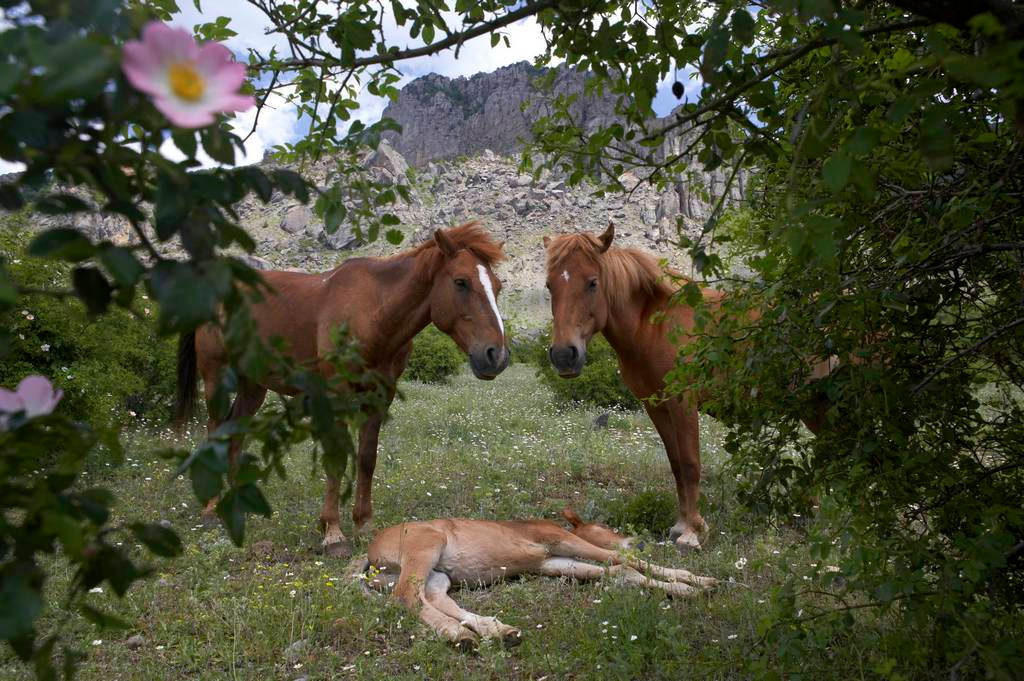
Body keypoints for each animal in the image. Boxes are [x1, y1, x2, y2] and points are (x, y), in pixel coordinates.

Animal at [175, 222, 510, 558]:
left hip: (253, 387)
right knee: (215, 431)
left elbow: (366, 458)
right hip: (216, 377)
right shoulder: (335, 395)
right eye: (460, 282)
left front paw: (363, 524)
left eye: (497, 286)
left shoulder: (380, 397)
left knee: (234, 435)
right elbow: (337, 459)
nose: (496, 355)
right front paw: (333, 533)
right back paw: (210, 508)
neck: (373, 314)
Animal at [359, 507, 718, 650]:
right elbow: (623, 561)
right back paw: (461, 635)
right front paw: (696, 580)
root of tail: (371, 556)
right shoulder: (560, 541)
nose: (638, 539)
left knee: (432, 598)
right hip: (425, 549)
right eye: (605, 526)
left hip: (438, 576)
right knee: (404, 597)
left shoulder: (550, 561)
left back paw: (496, 631)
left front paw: (686, 589)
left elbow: (618, 571)